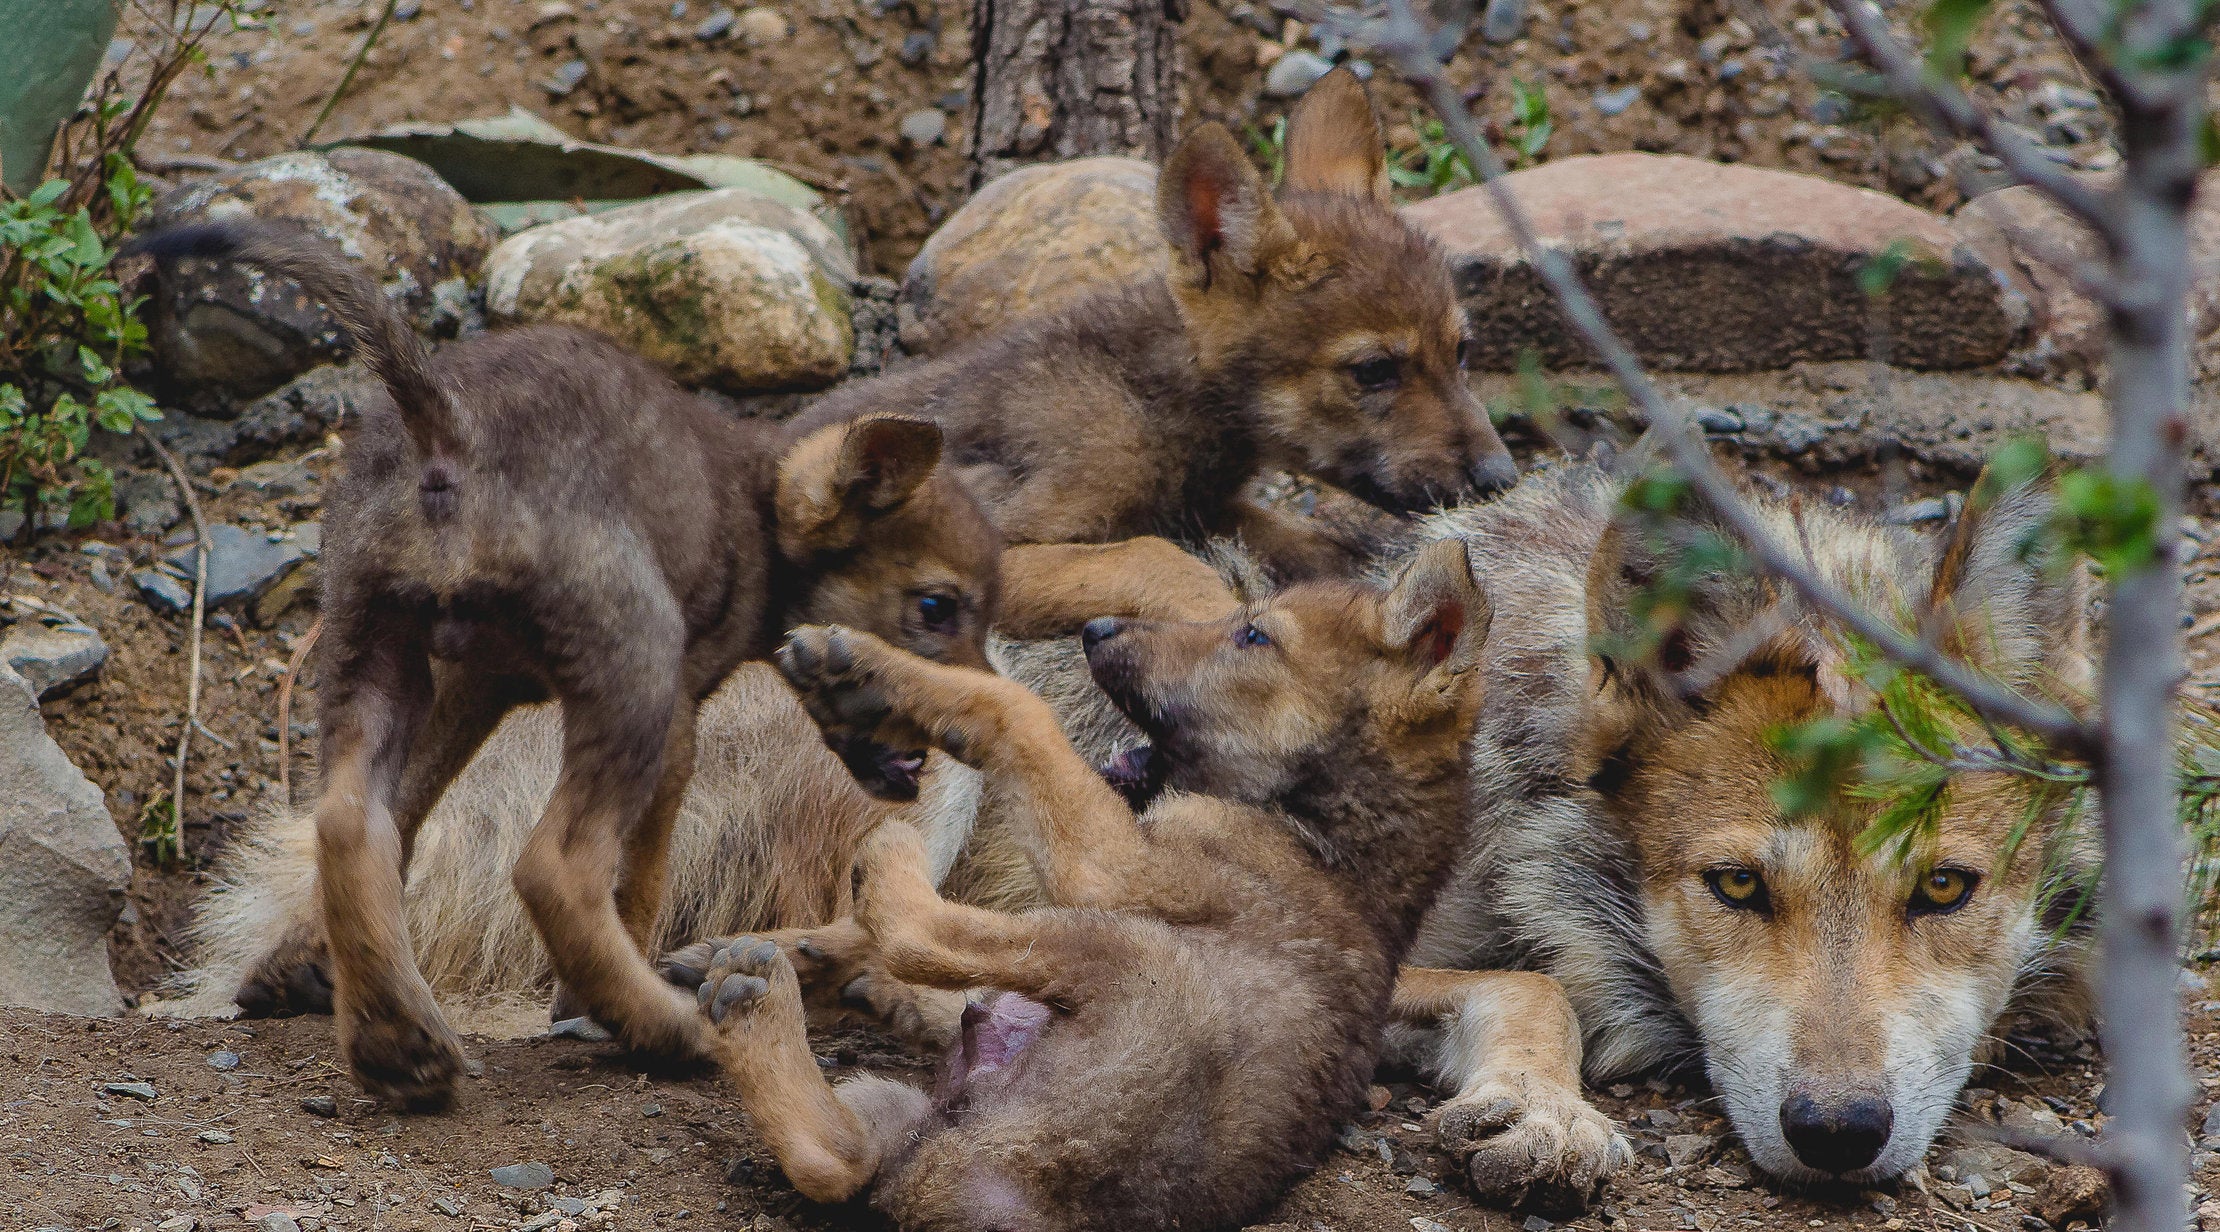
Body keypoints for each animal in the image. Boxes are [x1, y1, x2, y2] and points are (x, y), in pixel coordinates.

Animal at [129, 222, 1002, 1109]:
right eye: (938, 607)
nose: (987, 723)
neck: (758, 514)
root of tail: (448, 428)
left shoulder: (475, 689)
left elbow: (402, 821)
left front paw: (295, 967)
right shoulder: (675, 718)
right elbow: (639, 879)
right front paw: (591, 1003)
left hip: (372, 645)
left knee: (349, 821)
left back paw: (396, 1040)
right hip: (629, 676)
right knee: (553, 868)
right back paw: (667, 1027)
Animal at [669, 539, 1617, 1229]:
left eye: (1252, 636)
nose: (1094, 631)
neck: (1330, 829)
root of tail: (974, 1189)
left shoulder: (1110, 865)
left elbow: (1015, 709)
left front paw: (863, 661)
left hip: (1128, 949)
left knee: (918, 935)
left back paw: (850, 898)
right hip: (897, 1104)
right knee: (837, 1156)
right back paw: (750, 993)